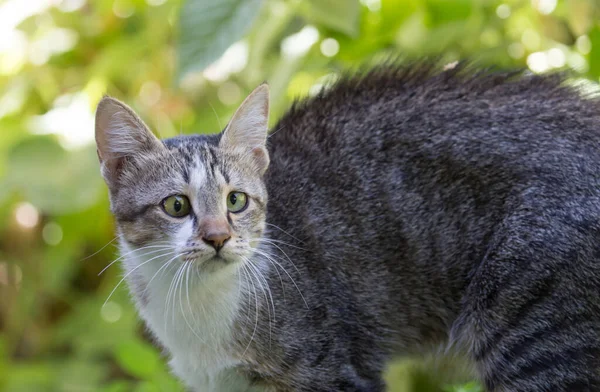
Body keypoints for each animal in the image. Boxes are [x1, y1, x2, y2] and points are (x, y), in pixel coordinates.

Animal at [95, 62, 600, 390]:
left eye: (235, 200)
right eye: (176, 205)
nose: (218, 237)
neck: (194, 307)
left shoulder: (336, 372)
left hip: (539, 333)